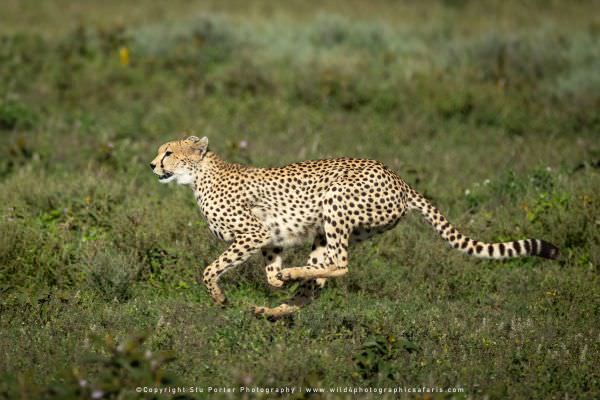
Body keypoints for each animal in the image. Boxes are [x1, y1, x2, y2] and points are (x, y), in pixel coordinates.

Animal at [149, 136, 556, 318]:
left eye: (168, 152)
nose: (152, 164)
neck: (200, 174)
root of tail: (398, 177)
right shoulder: (271, 239)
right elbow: (269, 273)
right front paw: (277, 281)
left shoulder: (254, 233)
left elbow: (211, 269)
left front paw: (219, 297)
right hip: (326, 231)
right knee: (318, 282)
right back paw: (278, 305)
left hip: (335, 203)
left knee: (340, 266)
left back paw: (294, 278)